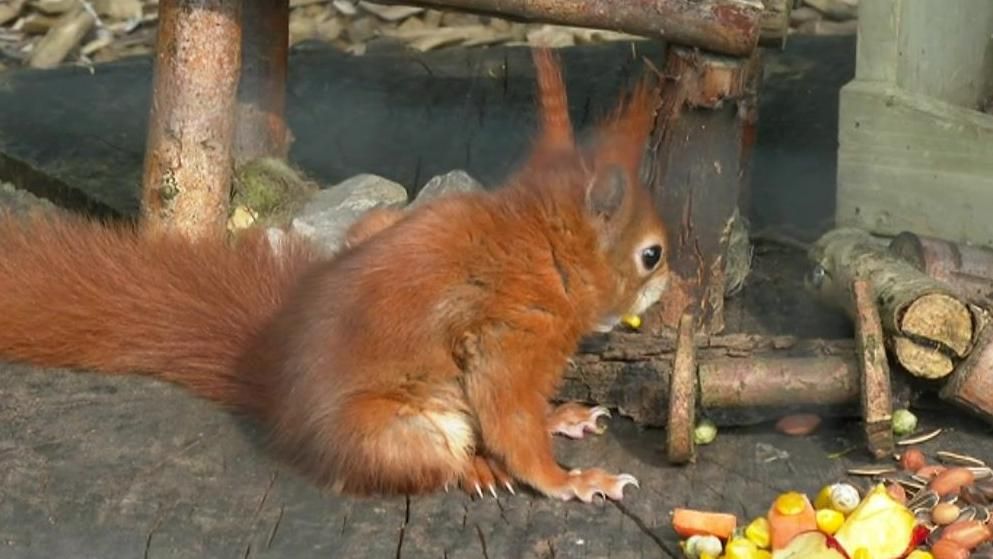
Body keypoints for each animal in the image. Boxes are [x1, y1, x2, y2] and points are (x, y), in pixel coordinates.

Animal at [0, 48, 672, 504]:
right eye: (652, 255)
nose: (671, 286)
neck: (539, 245)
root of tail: (273, 393)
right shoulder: (511, 336)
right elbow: (512, 421)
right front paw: (572, 480)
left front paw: (559, 417)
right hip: (404, 430)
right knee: (435, 462)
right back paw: (477, 468)